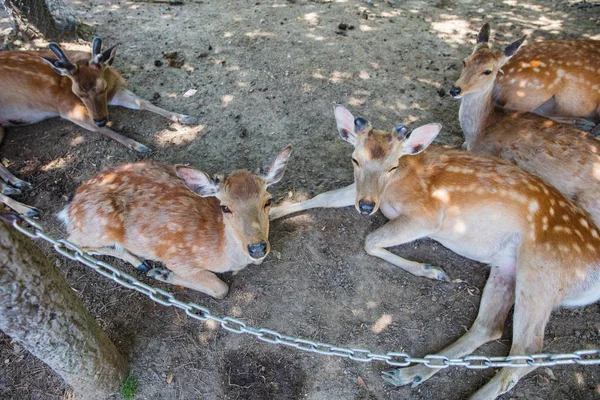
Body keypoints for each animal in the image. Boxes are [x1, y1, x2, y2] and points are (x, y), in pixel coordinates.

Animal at [0, 38, 200, 216]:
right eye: (77, 92)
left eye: (102, 87)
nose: (101, 119)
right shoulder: (66, 107)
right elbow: (100, 129)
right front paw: (138, 145)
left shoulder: (116, 91)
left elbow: (143, 102)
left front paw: (184, 117)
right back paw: (26, 207)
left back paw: (17, 184)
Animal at [57, 145, 292, 298]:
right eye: (225, 207)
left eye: (268, 200)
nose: (257, 248)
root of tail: (69, 205)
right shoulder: (178, 258)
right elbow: (220, 289)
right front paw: (163, 273)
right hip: (98, 225)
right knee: (70, 241)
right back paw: (143, 264)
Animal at [270, 104, 600, 400]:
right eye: (355, 159)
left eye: (392, 165)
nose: (365, 206)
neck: (395, 187)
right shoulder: (362, 193)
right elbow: (323, 198)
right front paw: (272, 212)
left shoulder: (429, 217)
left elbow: (370, 241)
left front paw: (431, 270)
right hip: (508, 267)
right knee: (489, 328)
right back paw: (410, 373)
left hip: (543, 273)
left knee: (527, 352)